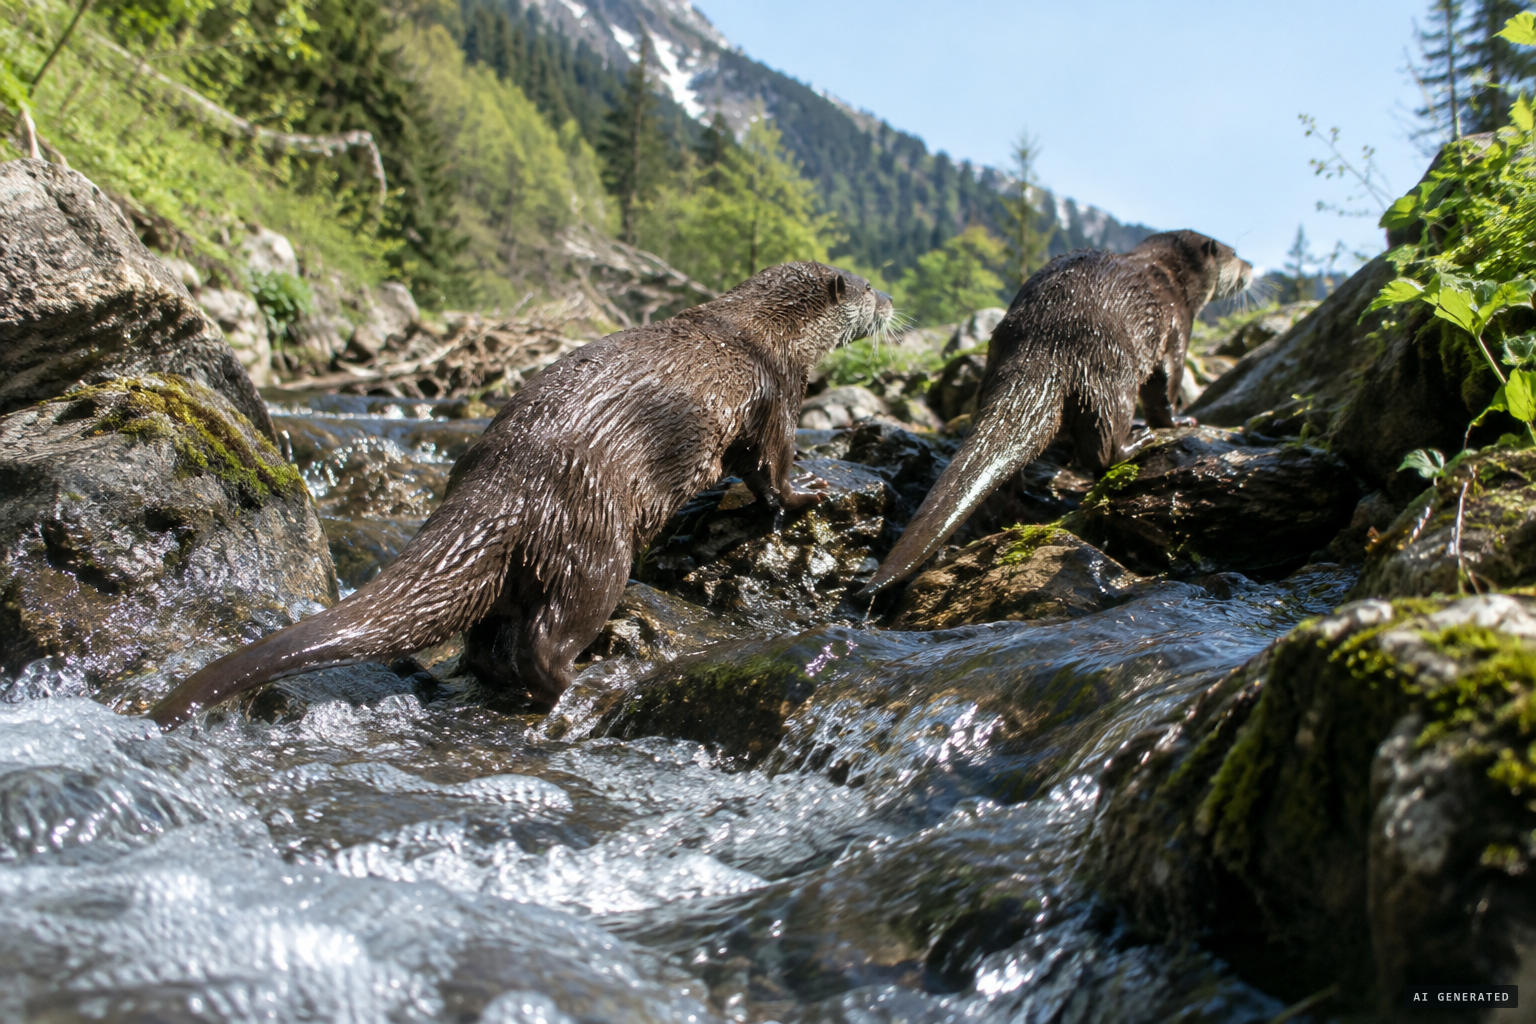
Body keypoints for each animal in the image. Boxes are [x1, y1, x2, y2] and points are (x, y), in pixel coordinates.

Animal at [151, 263, 893, 729]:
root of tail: (496, 492)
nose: (890, 304)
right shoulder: (777, 394)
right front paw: (809, 493)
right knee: (547, 637)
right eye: (867, 287)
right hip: (594, 535)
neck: (762, 330)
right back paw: (588, 683)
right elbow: (770, 469)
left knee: (487, 642)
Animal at [861, 230, 1251, 596]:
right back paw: (1137, 440)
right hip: (1112, 373)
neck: (1172, 275)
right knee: (1104, 449)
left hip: (993, 364)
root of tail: (1048, 341)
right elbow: (1166, 388)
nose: (1250, 267)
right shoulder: (1178, 327)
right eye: (1235, 253)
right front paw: (1179, 421)